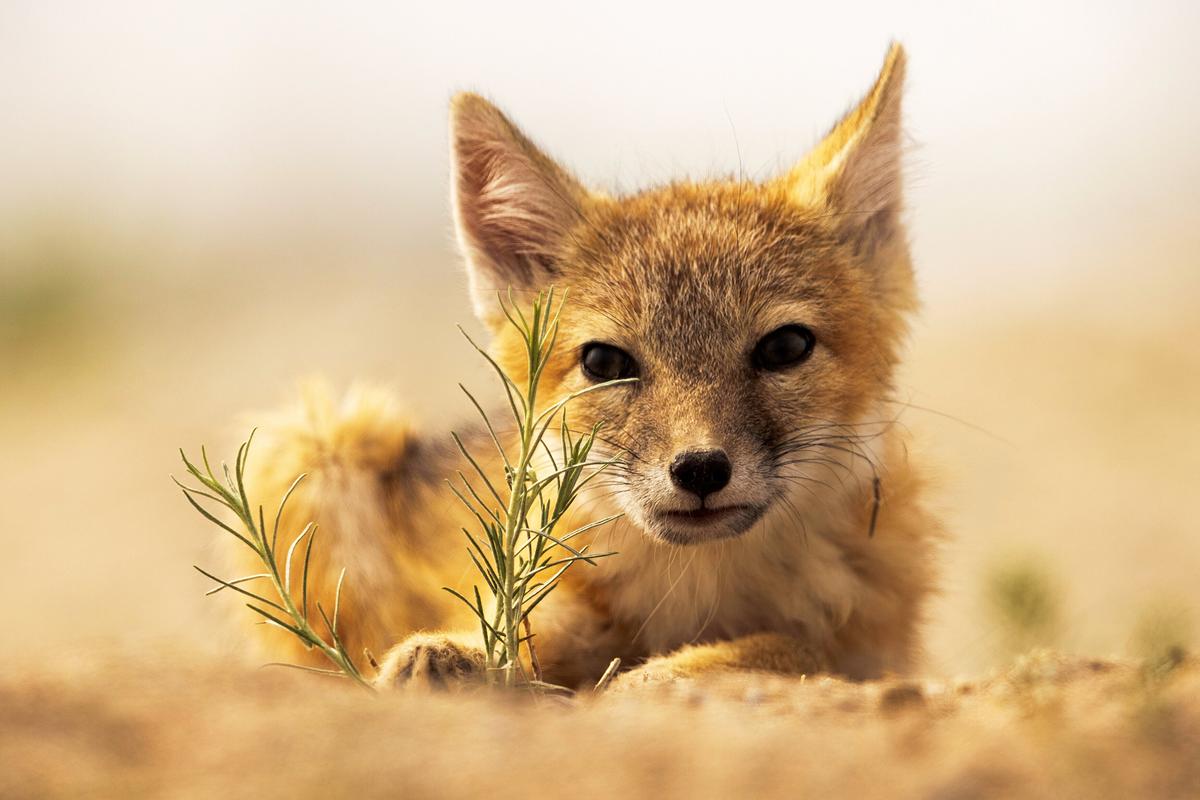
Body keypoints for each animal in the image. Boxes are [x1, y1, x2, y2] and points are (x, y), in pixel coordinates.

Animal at [241, 43, 936, 690]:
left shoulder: (873, 646)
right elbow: (506, 640)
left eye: (785, 348)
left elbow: (787, 647)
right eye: (604, 361)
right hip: (318, 442)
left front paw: (668, 672)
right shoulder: (551, 610)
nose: (700, 468)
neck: (697, 590)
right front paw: (452, 656)